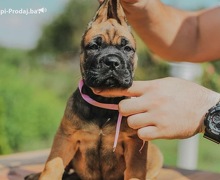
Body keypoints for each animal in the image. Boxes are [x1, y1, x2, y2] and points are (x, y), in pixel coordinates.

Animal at [25, 0, 163, 179]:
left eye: (127, 49)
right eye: (94, 46)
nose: (112, 62)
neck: (103, 103)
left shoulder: (134, 141)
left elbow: (135, 170)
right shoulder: (65, 138)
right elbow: (53, 164)